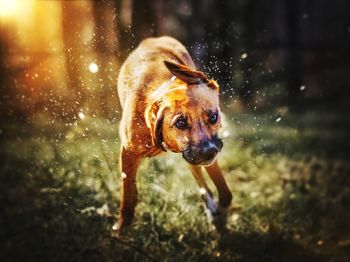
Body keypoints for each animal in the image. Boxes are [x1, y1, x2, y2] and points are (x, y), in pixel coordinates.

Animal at [115, 35, 232, 233]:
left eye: (213, 117)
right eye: (180, 123)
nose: (209, 151)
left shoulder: (208, 153)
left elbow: (224, 191)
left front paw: (220, 214)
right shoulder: (128, 154)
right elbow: (128, 194)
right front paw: (122, 226)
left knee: (204, 184)